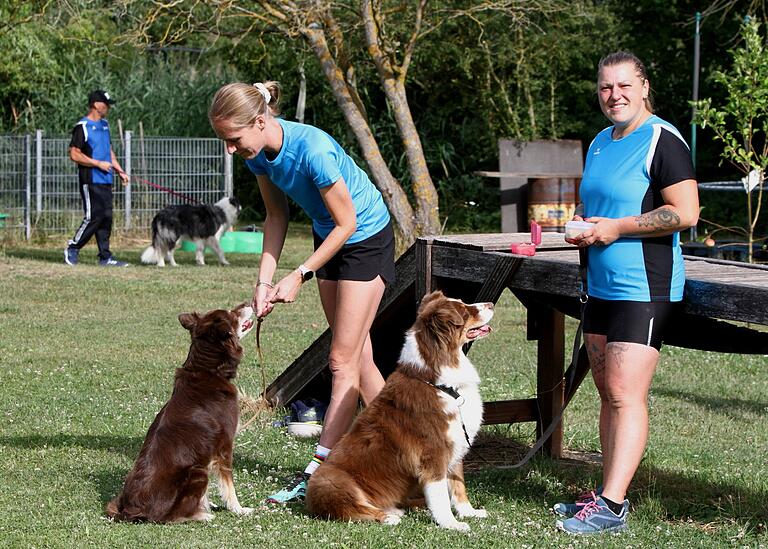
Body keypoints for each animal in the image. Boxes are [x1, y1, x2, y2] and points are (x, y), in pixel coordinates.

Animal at [106, 304, 255, 524]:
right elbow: (228, 485)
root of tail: (132, 510)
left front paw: (207, 502)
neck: (208, 370)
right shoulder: (224, 446)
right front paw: (238, 509)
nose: (248, 303)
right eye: (232, 313)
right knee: (172, 517)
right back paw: (202, 515)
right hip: (197, 472)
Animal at [304, 292, 496, 532]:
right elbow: (441, 495)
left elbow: (458, 485)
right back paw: (388, 517)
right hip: (331, 481)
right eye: (464, 311)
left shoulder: (455, 443)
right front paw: (451, 524)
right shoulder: (433, 452)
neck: (437, 380)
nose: (491, 304)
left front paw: (469, 512)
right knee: (353, 508)